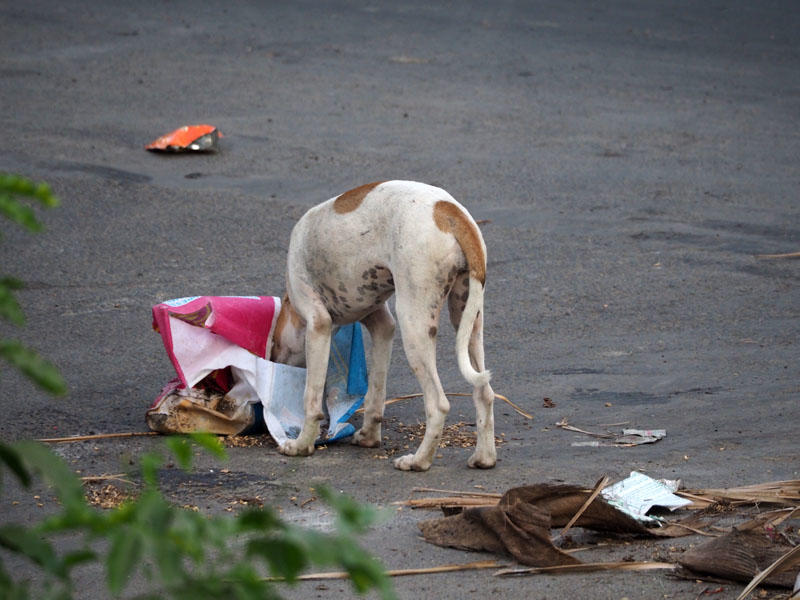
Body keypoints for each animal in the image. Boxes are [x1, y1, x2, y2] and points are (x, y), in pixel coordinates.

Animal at [270, 180, 494, 472]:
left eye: (274, 342)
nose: (272, 359)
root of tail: (448, 211)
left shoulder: (318, 324)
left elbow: (312, 399)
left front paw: (301, 446)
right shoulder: (382, 327)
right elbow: (376, 394)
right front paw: (368, 437)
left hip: (415, 327)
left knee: (438, 405)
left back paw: (419, 461)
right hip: (467, 320)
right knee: (484, 393)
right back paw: (484, 458)